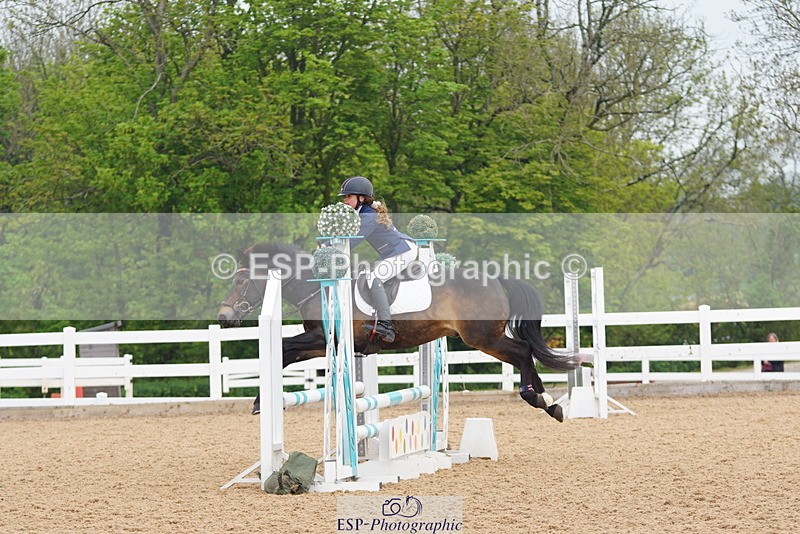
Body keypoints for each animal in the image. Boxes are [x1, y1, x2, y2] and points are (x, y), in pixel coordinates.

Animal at [217, 242, 580, 421]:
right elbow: (287, 353)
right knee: (526, 355)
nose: (224, 318)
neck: (319, 286)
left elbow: (283, 347)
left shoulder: (325, 338)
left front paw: (260, 402)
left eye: (241, 280)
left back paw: (540, 398)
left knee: (522, 353)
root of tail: (496, 279)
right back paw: (551, 403)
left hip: (482, 338)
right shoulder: (324, 342)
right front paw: (260, 402)